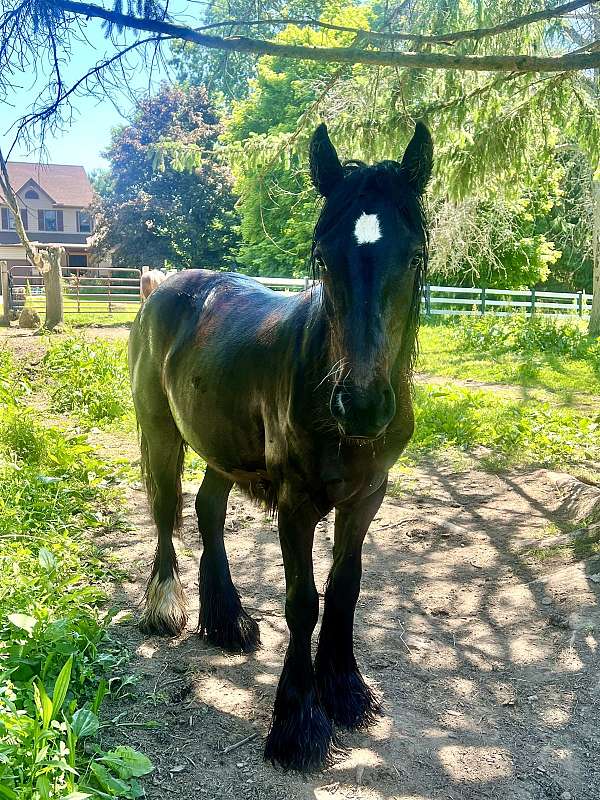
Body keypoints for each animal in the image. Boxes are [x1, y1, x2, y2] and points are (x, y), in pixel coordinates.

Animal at [128, 122, 433, 772]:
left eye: (414, 256)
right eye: (323, 257)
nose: (361, 404)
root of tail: (162, 286)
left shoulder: (367, 496)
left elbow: (344, 590)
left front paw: (345, 691)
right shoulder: (296, 504)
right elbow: (304, 602)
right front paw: (299, 722)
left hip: (223, 447)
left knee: (208, 509)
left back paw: (228, 620)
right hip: (161, 433)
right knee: (166, 512)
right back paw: (165, 608)